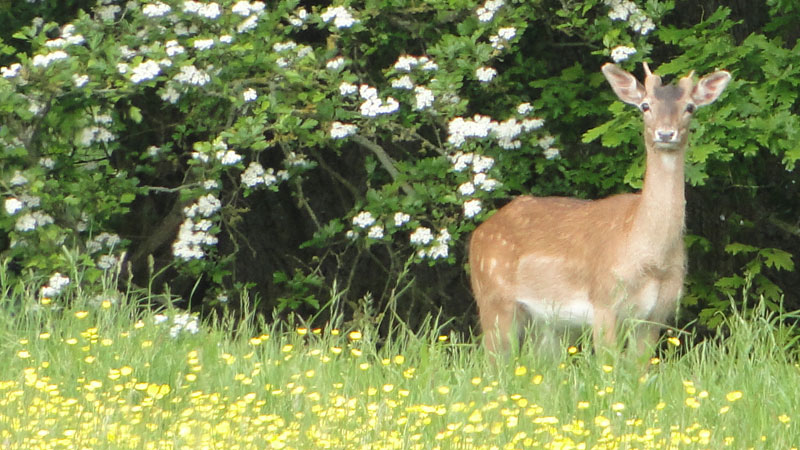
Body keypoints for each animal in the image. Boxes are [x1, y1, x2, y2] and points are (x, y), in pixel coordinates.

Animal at [469, 62, 731, 359]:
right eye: (645, 105)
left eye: (690, 107)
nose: (665, 133)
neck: (650, 257)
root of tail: (478, 233)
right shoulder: (604, 301)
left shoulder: (656, 314)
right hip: (493, 296)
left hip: (546, 323)